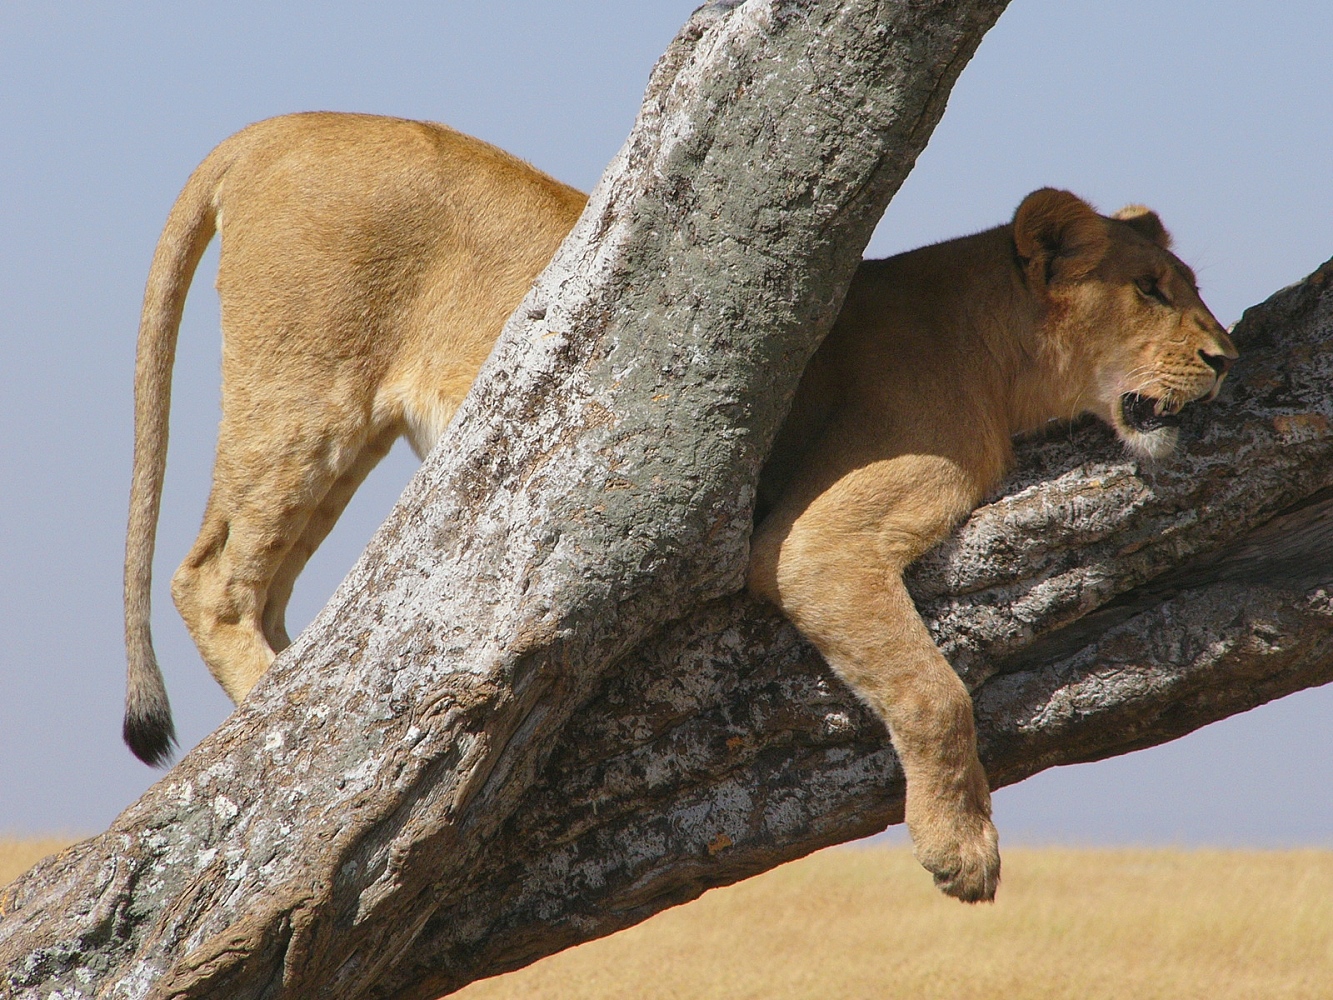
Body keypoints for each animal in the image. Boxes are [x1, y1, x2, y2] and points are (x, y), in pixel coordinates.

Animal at [125, 111, 1237, 906]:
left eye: (1184, 283)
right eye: (1149, 290)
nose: (1225, 357)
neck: (995, 347)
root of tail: (272, 127)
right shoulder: (811, 538)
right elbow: (932, 691)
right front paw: (960, 849)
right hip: (304, 390)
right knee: (211, 579)